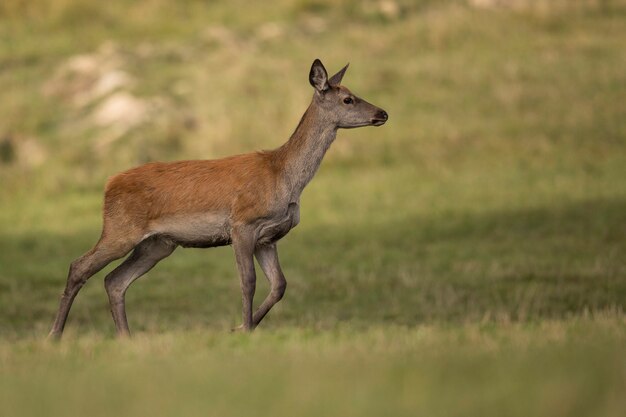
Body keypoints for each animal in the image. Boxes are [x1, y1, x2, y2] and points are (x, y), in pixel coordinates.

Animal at [48, 59, 386, 338]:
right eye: (347, 99)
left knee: (114, 281)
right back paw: (55, 335)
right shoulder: (243, 224)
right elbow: (248, 281)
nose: (382, 113)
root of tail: (108, 184)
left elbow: (279, 285)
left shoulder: (269, 237)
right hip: (120, 229)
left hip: (157, 244)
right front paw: (244, 328)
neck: (285, 177)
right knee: (79, 266)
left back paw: (125, 338)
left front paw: (241, 327)